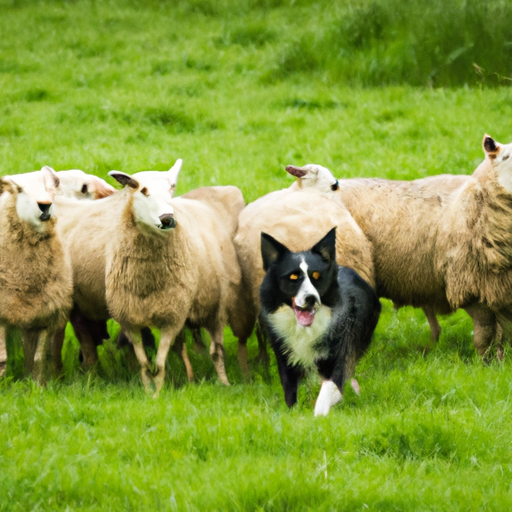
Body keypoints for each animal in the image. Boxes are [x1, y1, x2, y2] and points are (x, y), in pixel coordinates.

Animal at [0, 166, 72, 382]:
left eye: (50, 189)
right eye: (19, 190)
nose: (45, 205)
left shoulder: (45, 313)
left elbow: (39, 358)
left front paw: (38, 385)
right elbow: (2, 358)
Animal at [104, 170, 244, 394]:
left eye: (171, 188)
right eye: (143, 190)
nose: (168, 219)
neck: (146, 282)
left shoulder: (171, 318)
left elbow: (160, 364)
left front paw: (157, 394)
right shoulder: (130, 321)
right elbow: (145, 364)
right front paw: (149, 392)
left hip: (215, 306)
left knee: (216, 350)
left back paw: (224, 382)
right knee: (182, 347)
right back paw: (191, 378)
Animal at [260, 228, 380, 416]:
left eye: (316, 275)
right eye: (293, 276)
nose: (310, 298)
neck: (305, 329)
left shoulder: (340, 354)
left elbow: (328, 390)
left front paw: (319, 417)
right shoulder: (285, 360)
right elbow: (290, 394)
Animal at [338, 134, 512, 358]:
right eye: (506, 157)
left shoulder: (501, 290)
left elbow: (504, 331)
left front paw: (502, 359)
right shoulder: (468, 286)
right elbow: (485, 331)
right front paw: (485, 361)